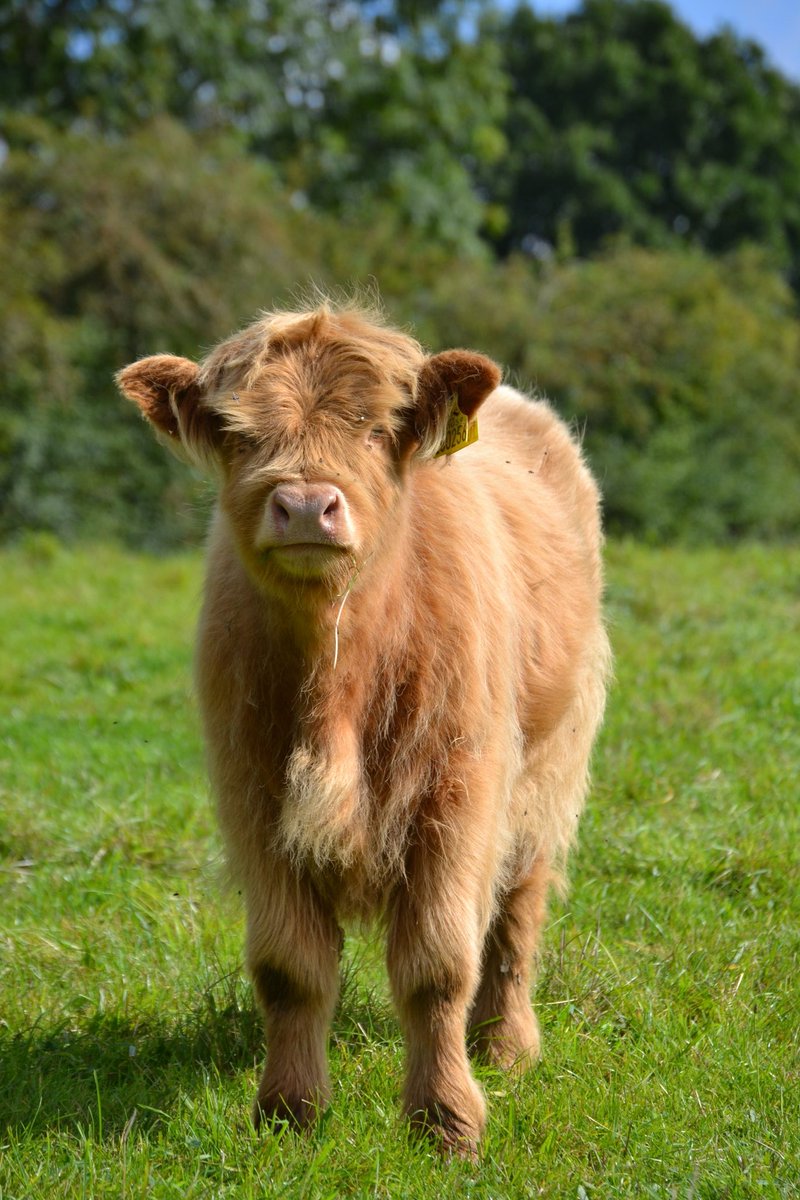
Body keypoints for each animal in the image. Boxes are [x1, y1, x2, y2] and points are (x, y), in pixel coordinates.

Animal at [116, 299, 610, 1155]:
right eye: (239, 432)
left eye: (378, 429)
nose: (306, 505)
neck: (338, 680)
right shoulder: (254, 799)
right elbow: (289, 969)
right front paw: (288, 1112)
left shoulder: (458, 796)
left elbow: (439, 967)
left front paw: (446, 1121)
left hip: (550, 763)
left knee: (517, 910)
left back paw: (507, 1046)